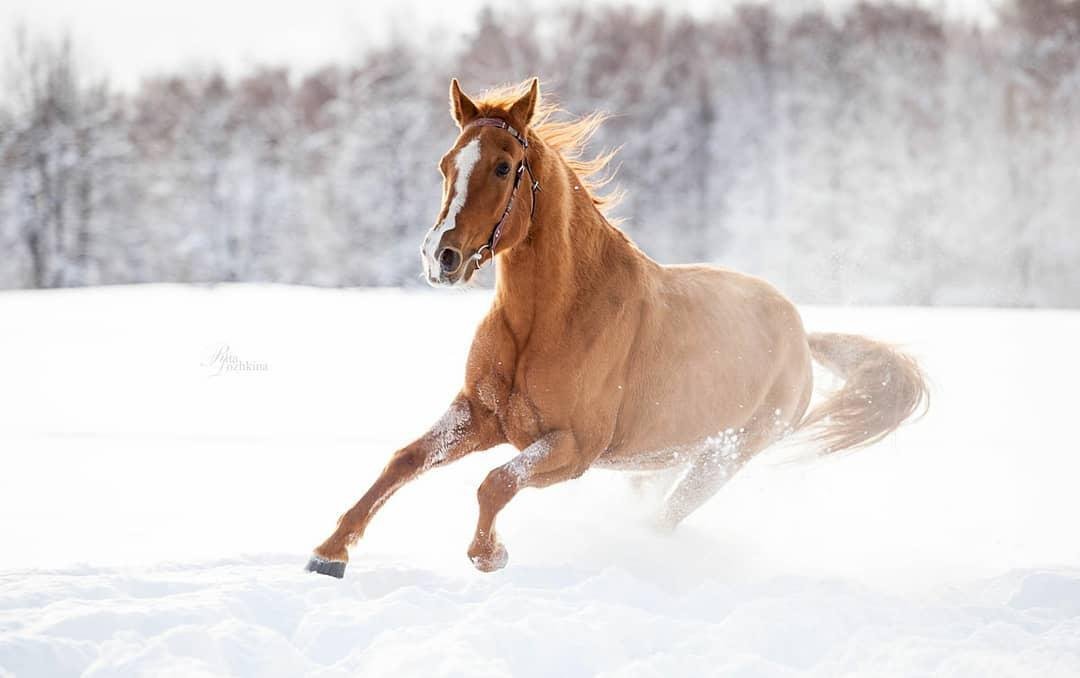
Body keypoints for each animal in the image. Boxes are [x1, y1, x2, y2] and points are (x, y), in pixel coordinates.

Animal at [306, 78, 928, 578]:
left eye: (504, 167)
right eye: (446, 164)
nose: (442, 257)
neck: (549, 319)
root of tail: (801, 334)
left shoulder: (572, 448)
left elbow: (495, 483)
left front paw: (489, 555)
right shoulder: (480, 416)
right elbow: (404, 460)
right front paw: (329, 553)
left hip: (723, 459)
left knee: (663, 520)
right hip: (664, 458)